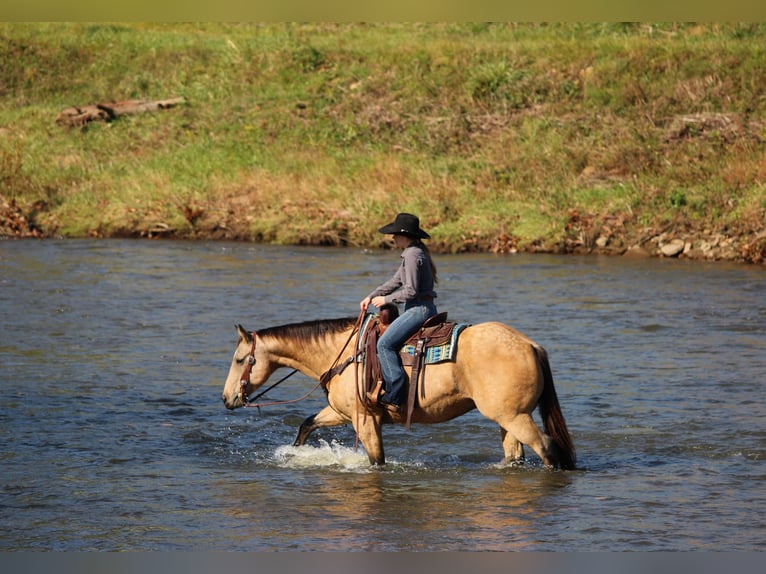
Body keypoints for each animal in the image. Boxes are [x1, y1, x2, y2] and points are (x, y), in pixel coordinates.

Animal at [221, 316, 576, 469]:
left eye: (239, 359)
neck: (342, 353)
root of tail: (530, 345)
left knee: (547, 448)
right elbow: (306, 424)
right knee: (515, 455)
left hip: (515, 417)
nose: (227, 398)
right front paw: (295, 454)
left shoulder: (364, 420)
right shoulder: (340, 412)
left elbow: (376, 460)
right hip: (507, 419)